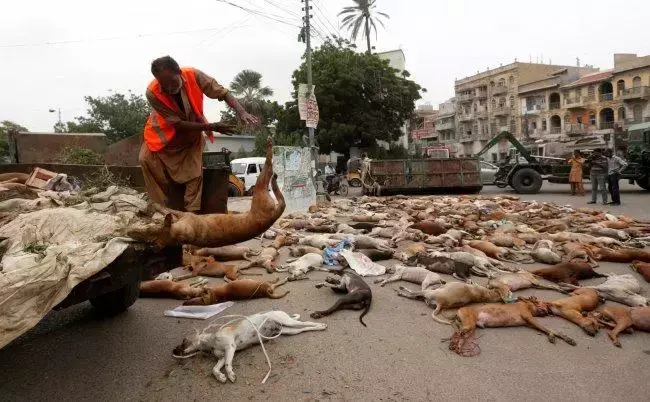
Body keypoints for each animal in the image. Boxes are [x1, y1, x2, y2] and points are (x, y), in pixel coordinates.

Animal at [128, 141, 284, 248]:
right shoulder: (185, 217)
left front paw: (153, 204)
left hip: (259, 192)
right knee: (270, 176)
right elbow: (167, 209)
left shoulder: (184, 215)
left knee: (270, 173)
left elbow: (166, 209)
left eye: (150, 229)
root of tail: (271, 217)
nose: (131, 232)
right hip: (260, 192)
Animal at [172, 310, 326, 384]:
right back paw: (318, 328)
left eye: (183, 342)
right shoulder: (222, 357)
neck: (211, 341)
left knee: (306, 322)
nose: (173, 351)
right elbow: (214, 369)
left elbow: (227, 365)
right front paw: (220, 377)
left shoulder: (230, 348)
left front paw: (230, 375)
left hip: (287, 322)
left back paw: (321, 325)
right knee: (304, 328)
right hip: (289, 330)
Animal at [448, 296, 576, 356]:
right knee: (458, 334)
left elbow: (551, 330)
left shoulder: (530, 323)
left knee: (460, 335)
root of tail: (458, 311)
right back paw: (455, 346)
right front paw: (552, 335)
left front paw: (567, 338)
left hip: (469, 327)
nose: (549, 311)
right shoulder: (529, 318)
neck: (528, 306)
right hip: (469, 324)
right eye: (540, 301)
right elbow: (549, 329)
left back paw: (457, 346)